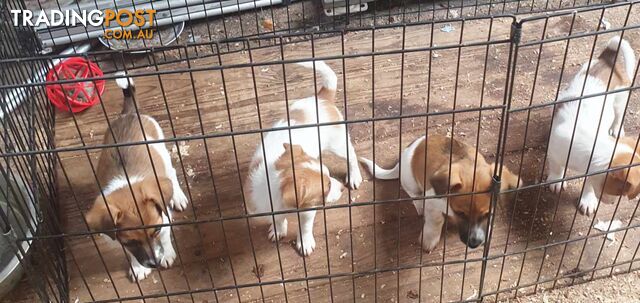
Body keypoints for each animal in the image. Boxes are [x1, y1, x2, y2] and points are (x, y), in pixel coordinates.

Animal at [84, 74, 188, 282]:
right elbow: (129, 254)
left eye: (155, 231)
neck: (126, 185)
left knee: (172, 173)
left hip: (162, 151)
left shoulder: (163, 218)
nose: (153, 263)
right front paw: (138, 267)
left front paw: (167, 254)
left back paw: (178, 197)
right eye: (130, 242)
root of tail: (130, 114)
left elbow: (165, 237)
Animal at [245, 61, 362, 256]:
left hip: (338, 144)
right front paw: (278, 230)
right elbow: (277, 220)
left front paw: (305, 242)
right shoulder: (267, 209)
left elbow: (305, 227)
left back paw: (354, 176)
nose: (341, 189)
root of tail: (321, 97)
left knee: (352, 156)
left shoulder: (309, 210)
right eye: (327, 186)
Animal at [360, 137, 520, 253]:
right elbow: (436, 221)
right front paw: (429, 239)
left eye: (487, 214)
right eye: (460, 213)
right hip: (410, 180)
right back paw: (419, 205)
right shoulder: (433, 204)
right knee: (412, 193)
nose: (474, 244)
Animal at [544, 36, 640, 216]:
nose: (612, 203)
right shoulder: (554, 150)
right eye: (621, 190)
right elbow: (557, 167)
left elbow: (588, 183)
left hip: (620, 100)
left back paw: (616, 129)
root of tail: (607, 58)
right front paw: (556, 180)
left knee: (618, 117)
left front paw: (587, 200)